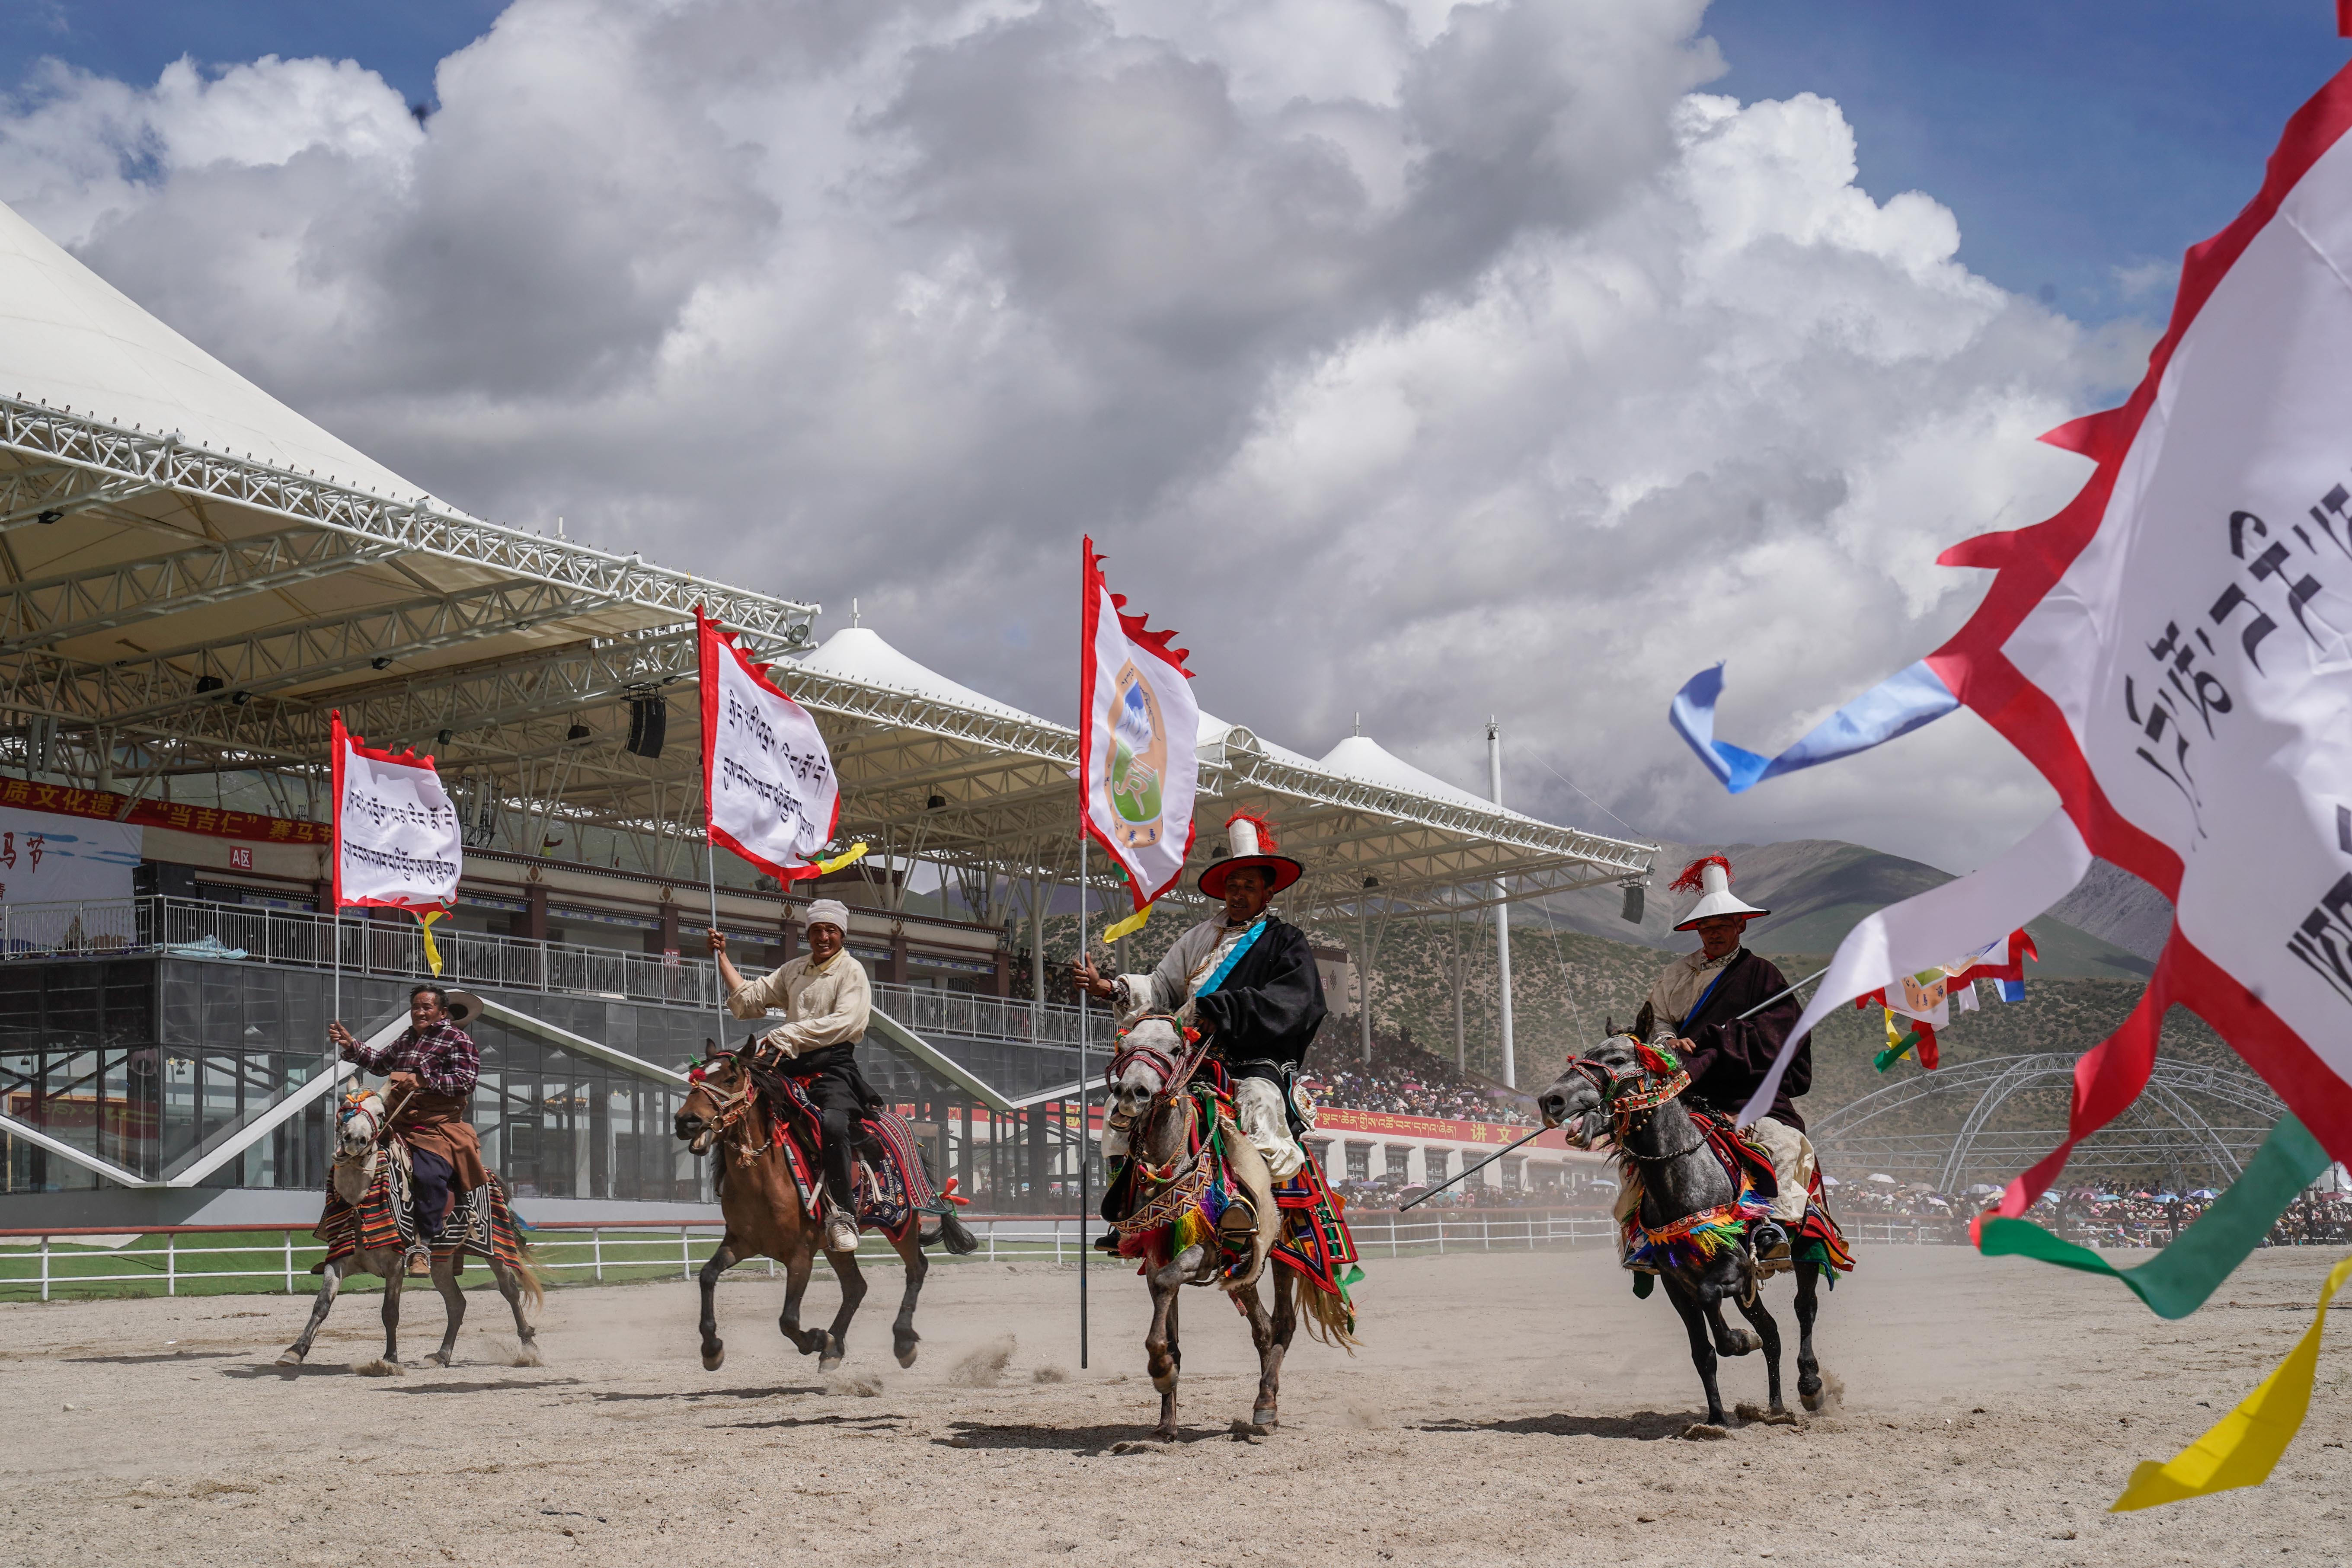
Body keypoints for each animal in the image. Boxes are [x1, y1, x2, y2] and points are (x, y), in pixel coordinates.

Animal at [280, 1091, 541, 1373]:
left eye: (381, 1113)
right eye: (345, 1107)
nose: (354, 1140)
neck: (359, 1203)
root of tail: (490, 1176)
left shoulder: (394, 1265)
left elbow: (390, 1312)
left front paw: (389, 1360)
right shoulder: (339, 1262)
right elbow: (321, 1305)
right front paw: (295, 1351)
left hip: (495, 1252)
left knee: (510, 1292)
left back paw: (529, 1349)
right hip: (441, 1262)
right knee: (457, 1304)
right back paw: (441, 1356)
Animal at [668, 1053, 969, 1373]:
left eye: (730, 1079)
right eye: (694, 1078)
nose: (686, 1120)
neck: (764, 1181)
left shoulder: (801, 1254)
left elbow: (788, 1319)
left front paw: (817, 1339)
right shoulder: (741, 1242)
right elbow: (708, 1276)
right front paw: (711, 1348)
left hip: (902, 1222)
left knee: (916, 1268)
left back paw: (902, 1341)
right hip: (836, 1243)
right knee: (856, 1286)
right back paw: (834, 1349)